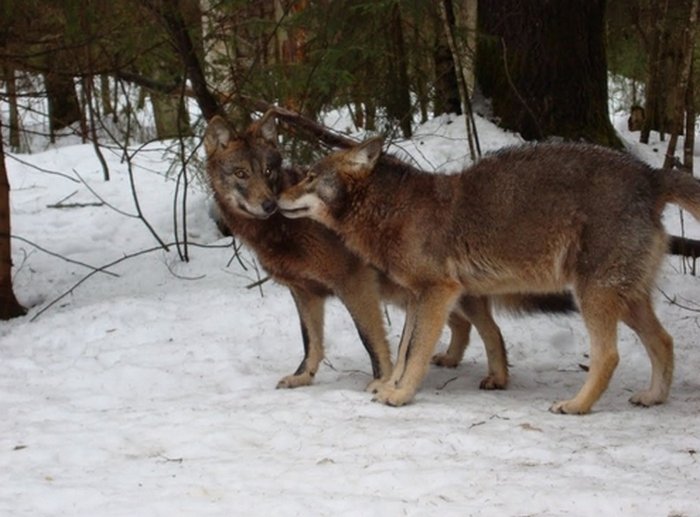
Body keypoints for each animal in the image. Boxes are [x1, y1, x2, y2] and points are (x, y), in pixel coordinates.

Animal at [204, 115, 576, 392]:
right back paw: (450, 359)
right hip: (414, 293)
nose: (270, 204)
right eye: (241, 173)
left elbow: (371, 340)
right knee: (462, 325)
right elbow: (312, 342)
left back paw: (495, 377)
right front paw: (302, 377)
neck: (282, 232)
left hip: (443, 293)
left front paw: (382, 381)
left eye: (268, 172)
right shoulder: (304, 293)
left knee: (491, 330)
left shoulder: (355, 285)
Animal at [278, 139, 700, 414]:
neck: (394, 211)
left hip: (593, 297)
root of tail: (651, 176)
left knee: (608, 356)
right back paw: (652, 397)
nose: (275, 199)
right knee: (664, 342)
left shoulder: (438, 293)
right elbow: (401, 350)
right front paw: (387, 385)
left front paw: (400, 395)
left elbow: (416, 353)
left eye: (309, 176)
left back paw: (576, 405)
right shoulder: (418, 298)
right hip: (626, 301)